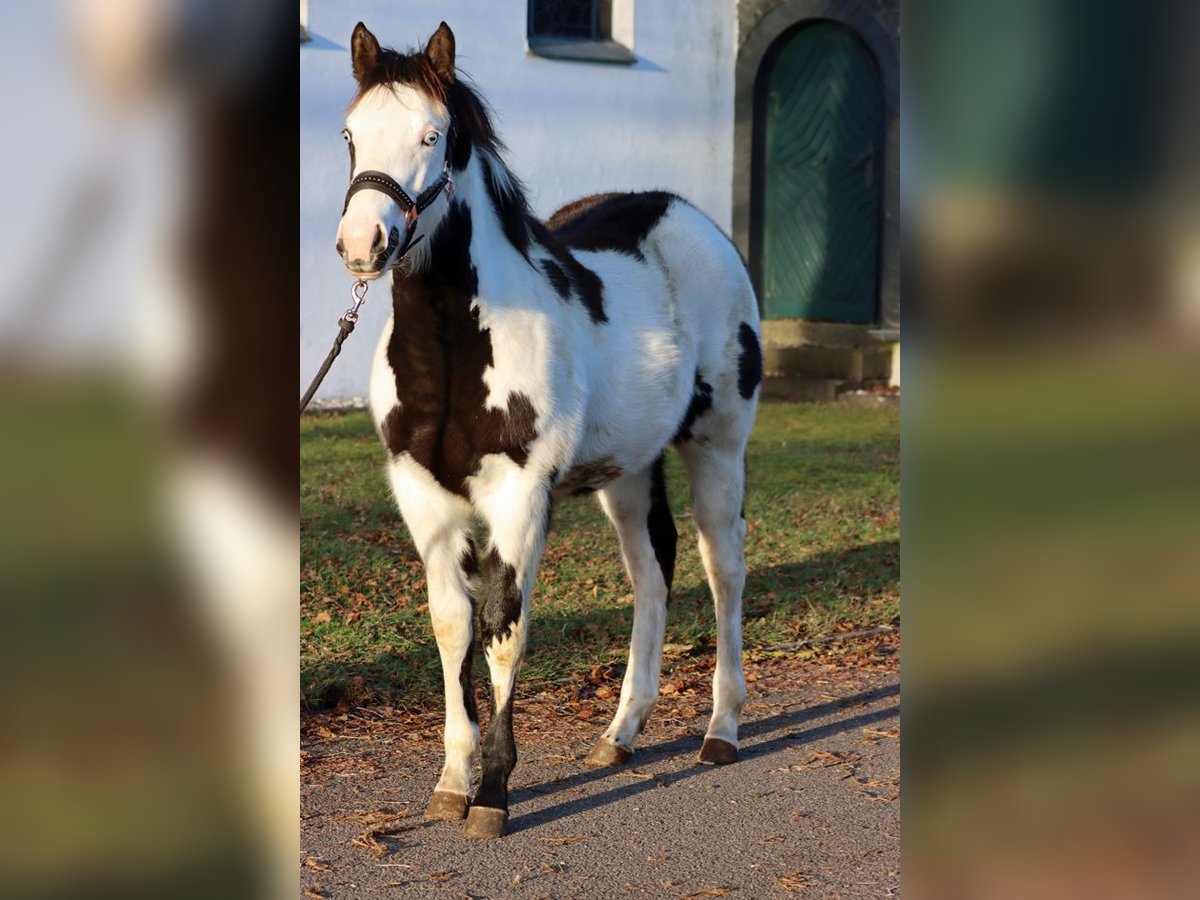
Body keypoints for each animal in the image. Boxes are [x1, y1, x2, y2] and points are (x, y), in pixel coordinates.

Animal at [333, 19, 763, 840]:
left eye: (433, 134)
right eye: (349, 134)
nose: (364, 243)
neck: (452, 352)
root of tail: (688, 217)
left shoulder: (519, 498)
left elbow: (504, 630)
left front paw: (495, 795)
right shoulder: (424, 499)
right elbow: (452, 626)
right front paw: (450, 782)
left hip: (718, 448)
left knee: (723, 570)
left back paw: (721, 730)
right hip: (628, 470)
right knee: (651, 570)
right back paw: (620, 734)